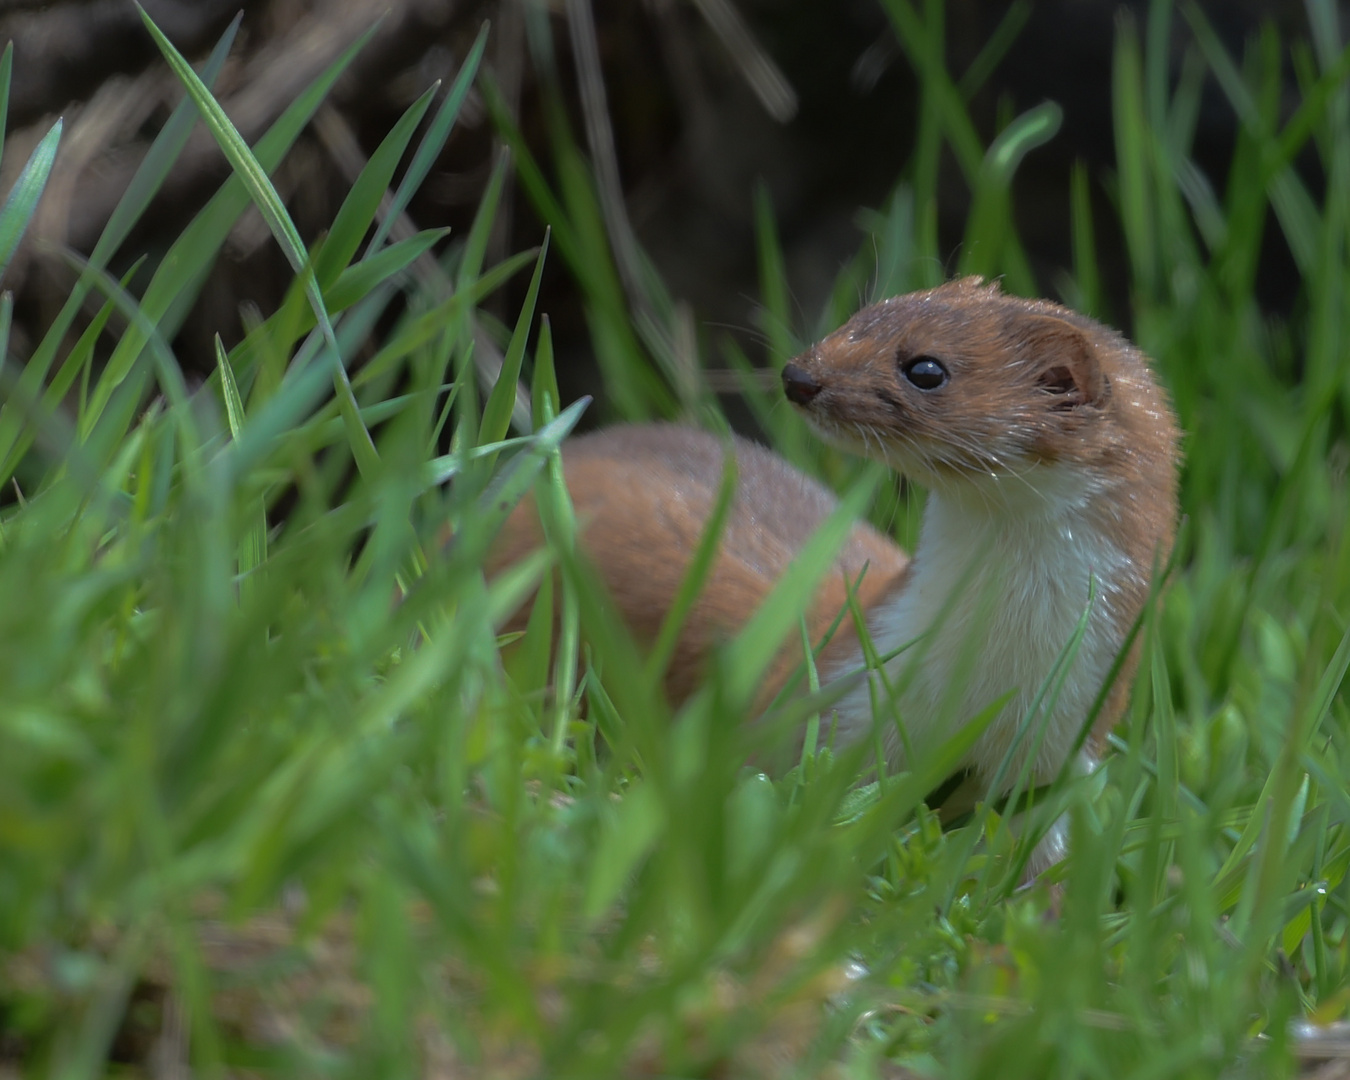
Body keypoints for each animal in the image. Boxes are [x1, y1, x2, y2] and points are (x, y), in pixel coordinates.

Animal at [491, 278, 1177, 837]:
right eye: (862, 316)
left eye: (925, 368)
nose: (798, 376)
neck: (985, 674)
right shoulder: (832, 707)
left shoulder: (1057, 762)